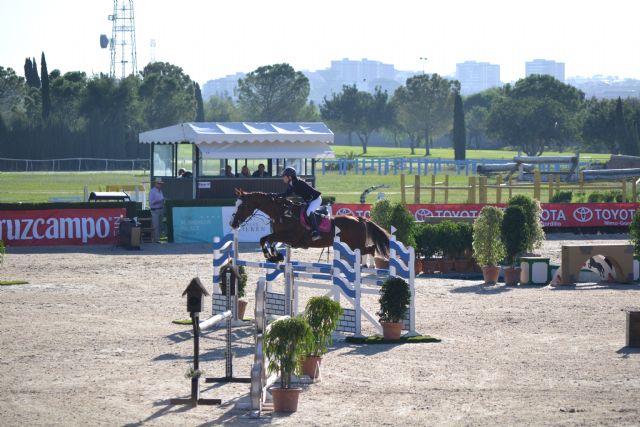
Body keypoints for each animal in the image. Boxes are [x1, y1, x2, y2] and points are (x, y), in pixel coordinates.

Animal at [230, 191, 390, 264]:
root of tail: (359, 219)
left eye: (242, 206)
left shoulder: (290, 236)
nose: (233, 223)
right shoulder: (282, 236)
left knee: (370, 249)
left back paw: (369, 267)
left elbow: (266, 239)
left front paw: (271, 256)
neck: (283, 212)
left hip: (355, 244)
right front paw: (275, 256)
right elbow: (267, 239)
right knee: (368, 250)